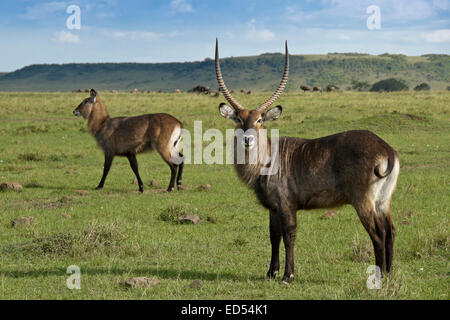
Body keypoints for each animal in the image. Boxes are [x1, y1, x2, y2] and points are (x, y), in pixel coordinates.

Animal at [216, 39, 400, 282]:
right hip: (382, 201)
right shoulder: (273, 207)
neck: (266, 160)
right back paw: (388, 273)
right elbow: (273, 236)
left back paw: (379, 276)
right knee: (390, 231)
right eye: (238, 119)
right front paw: (271, 272)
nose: (247, 139)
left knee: (378, 234)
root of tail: (385, 148)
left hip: (363, 201)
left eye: (259, 120)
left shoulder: (286, 204)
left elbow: (289, 235)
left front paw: (288, 275)